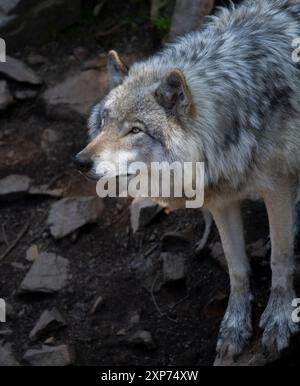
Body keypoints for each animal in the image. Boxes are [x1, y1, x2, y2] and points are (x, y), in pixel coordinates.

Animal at [74, 0, 300, 358]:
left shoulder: (276, 186)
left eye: (135, 130)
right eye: (105, 121)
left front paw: (279, 319)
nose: (80, 162)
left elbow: (280, 258)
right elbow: (237, 268)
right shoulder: (221, 201)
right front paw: (235, 325)